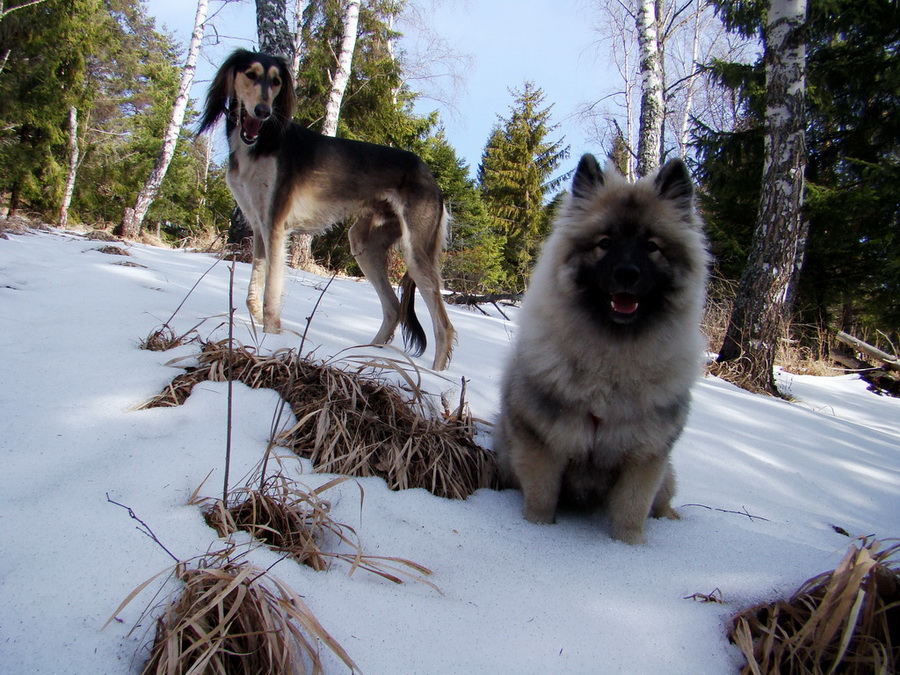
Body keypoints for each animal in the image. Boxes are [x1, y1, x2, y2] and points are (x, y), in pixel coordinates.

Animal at [202, 49, 458, 372]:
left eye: (276, 81)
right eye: (250, 74)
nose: (263, 111)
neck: (261, 144)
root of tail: (430, 176)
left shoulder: (275, 225)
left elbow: (270, 294)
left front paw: (271, 338)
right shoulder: (259, 225)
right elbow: (253, 294)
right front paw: (258, 330)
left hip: (415, 250)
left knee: (443, 325)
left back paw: (434, 377)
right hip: (364, 242)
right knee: (393, 307)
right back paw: (367, 356)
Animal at [492, 153, 712, 544]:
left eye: (651, 246)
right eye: (605, 243)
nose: (627, 273)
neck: (611, 363)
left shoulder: (645, 457)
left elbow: (631, 513)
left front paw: (627, 549)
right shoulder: (543, 445)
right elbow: (541, 501)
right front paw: (536, 533)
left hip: (666, 475)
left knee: (663, 501)